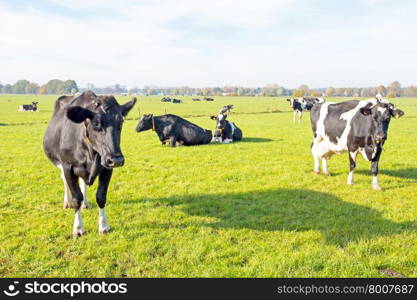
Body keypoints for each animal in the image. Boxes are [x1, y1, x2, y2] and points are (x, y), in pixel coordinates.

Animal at [43, 90, 136, 236]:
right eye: (96, 124)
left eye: (120, 123)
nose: (116, 160)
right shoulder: (68, 167)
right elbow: (76, 198)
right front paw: (78, 228)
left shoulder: (107, 168)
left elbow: (101, 196)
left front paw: (104, 226)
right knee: (64, 180)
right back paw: (66, 202)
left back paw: (85, 203)